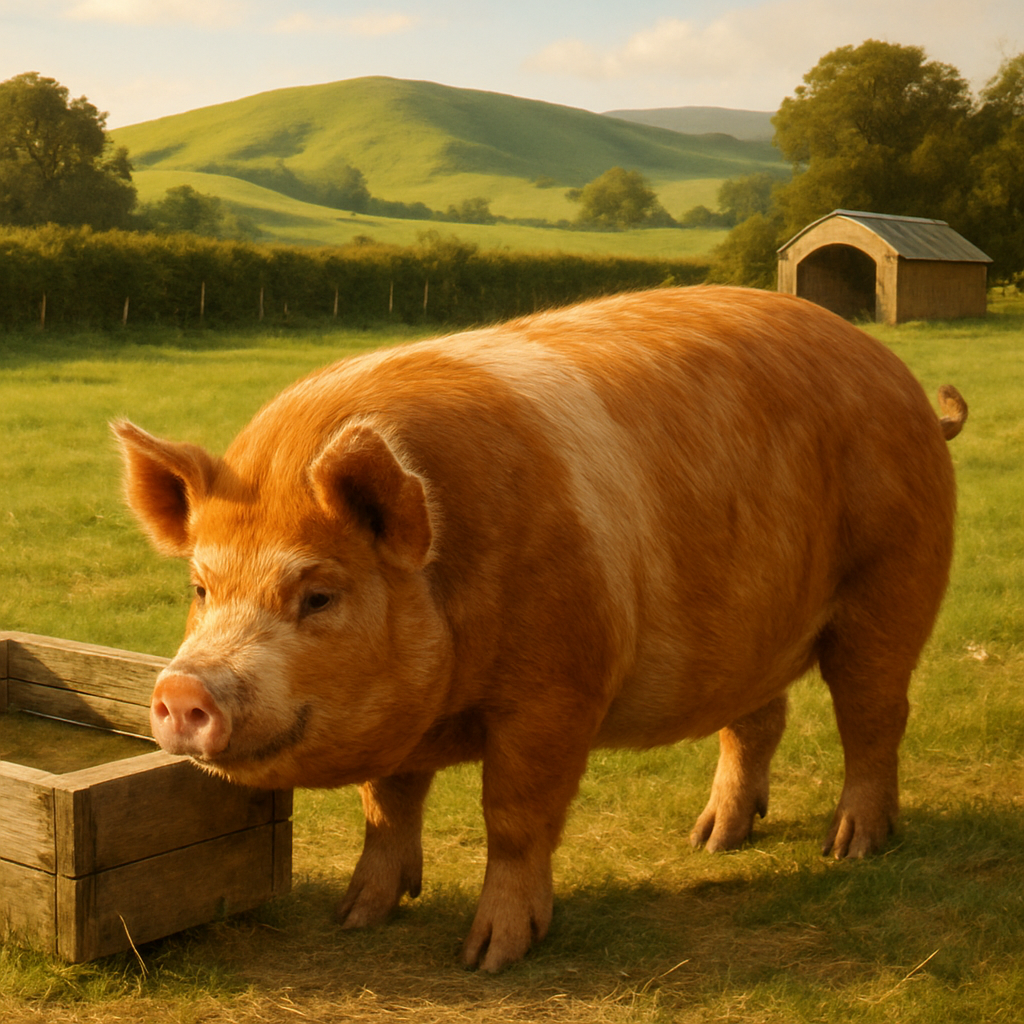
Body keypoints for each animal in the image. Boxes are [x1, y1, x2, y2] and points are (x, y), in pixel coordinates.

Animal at [113, 285, 966, 972]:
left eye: (318, 596)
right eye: (200, 586)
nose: (184, 688)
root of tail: (904, 384)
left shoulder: (559, 688)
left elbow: (515, 815)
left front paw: (487, 959)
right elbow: (385, 805)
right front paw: (355, 918)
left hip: (894, 576)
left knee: (875, 714)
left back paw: (851, 847)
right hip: (756, 625)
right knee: (756, 722)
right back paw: (712, 841)